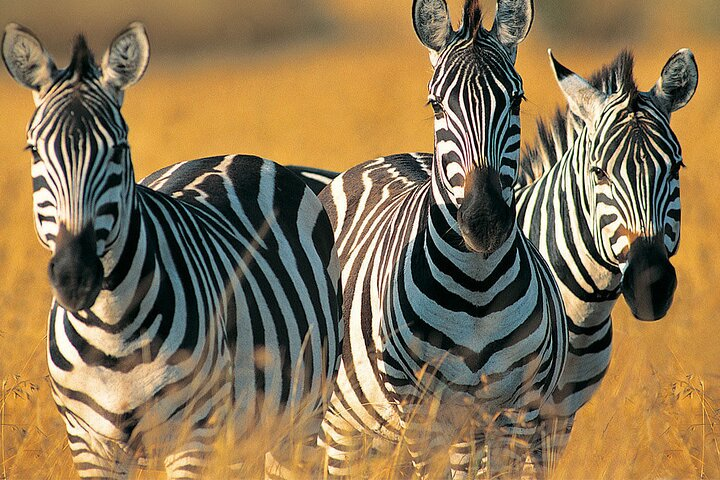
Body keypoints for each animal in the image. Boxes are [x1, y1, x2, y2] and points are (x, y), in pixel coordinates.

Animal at [2, 23, 342, 479]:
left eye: (119, 149)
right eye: (34, 150)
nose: (76, 277)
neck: (112, 333)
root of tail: (239, 155)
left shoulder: (194, 435)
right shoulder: (89, 442)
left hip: (299, 418)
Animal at [317, 0, 567, 477]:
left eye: (517, 100)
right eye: (436, 105)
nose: (484, 221)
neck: (478, 289)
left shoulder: (517, 409)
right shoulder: (419, 409)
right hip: (341, 420)